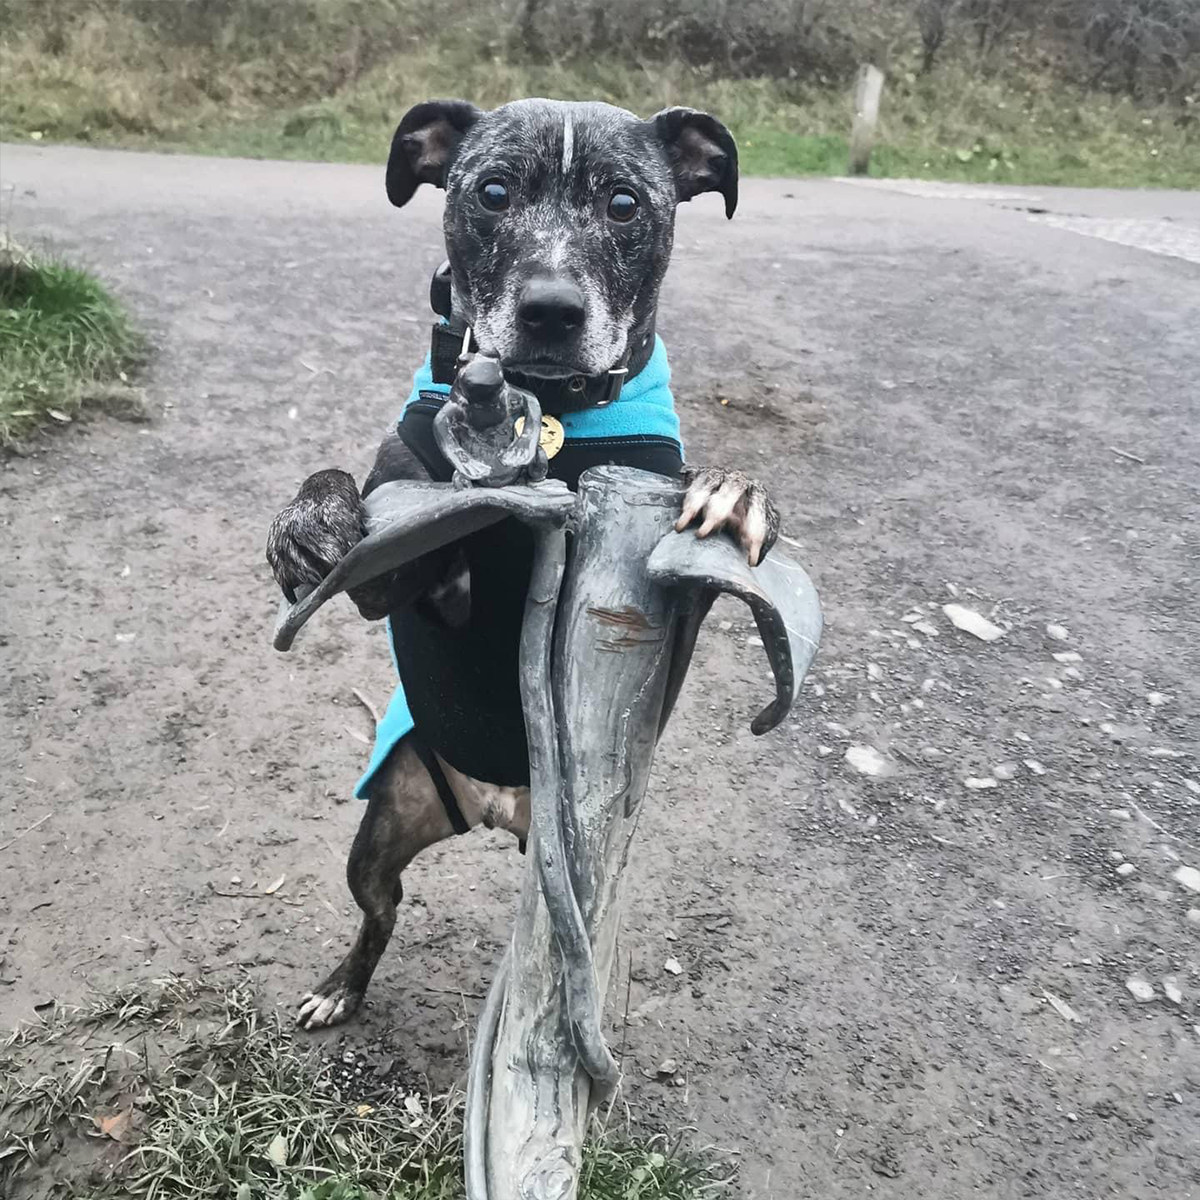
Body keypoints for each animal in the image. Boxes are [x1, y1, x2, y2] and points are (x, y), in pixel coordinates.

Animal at [267, 100, 782, 1032]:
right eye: (494, 191)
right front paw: (309, 517)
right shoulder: (402, 580)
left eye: (624, 203)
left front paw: (735, 489)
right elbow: (354, 503)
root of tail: (490, 806)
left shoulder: (670, 620)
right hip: (380, 840)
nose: (550, 310)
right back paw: (340, 988)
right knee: (379, 915)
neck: (553, 415)